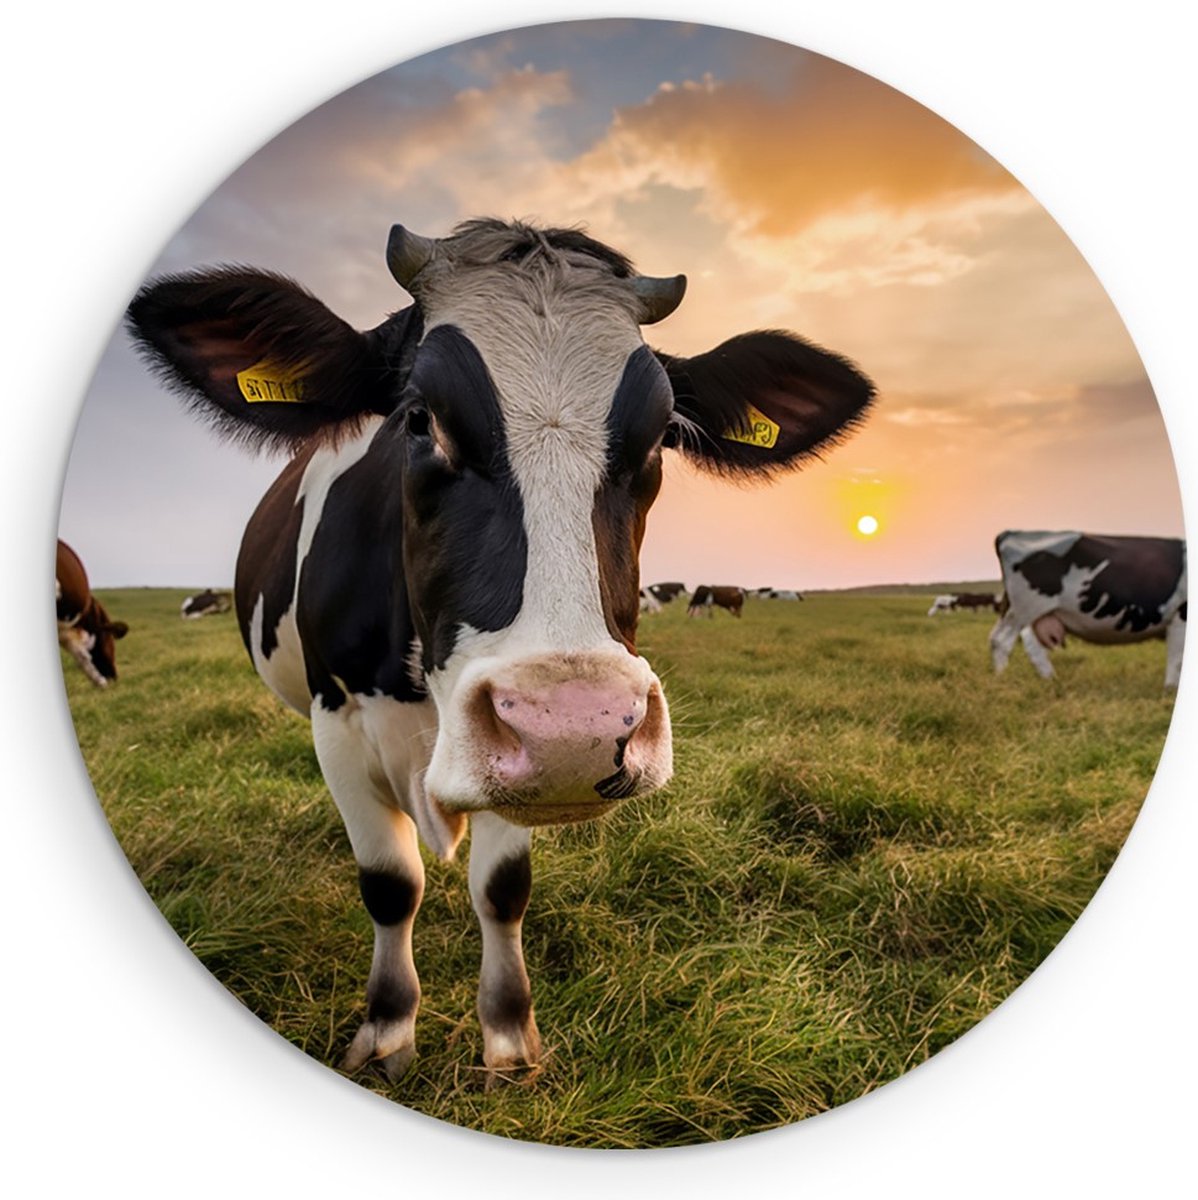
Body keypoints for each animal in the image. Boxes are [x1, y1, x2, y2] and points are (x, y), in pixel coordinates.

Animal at [126, 217, 874, 1079]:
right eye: (418, 418)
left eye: (660, 438)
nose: (575, 728)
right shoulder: (336, 718)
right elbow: (390, 883)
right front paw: (387, 1032)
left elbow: (503, 888)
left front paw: (511, 1038)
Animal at [989, 530, 1186, 688]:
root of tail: (1009, 534)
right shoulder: (1181, 614)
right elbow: (1177, 658)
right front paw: (1170, 689)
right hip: (1022, 610)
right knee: (1002, 641)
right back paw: (1002, 680)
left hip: (1030, 613)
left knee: (1029, 646)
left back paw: (1051, 680)